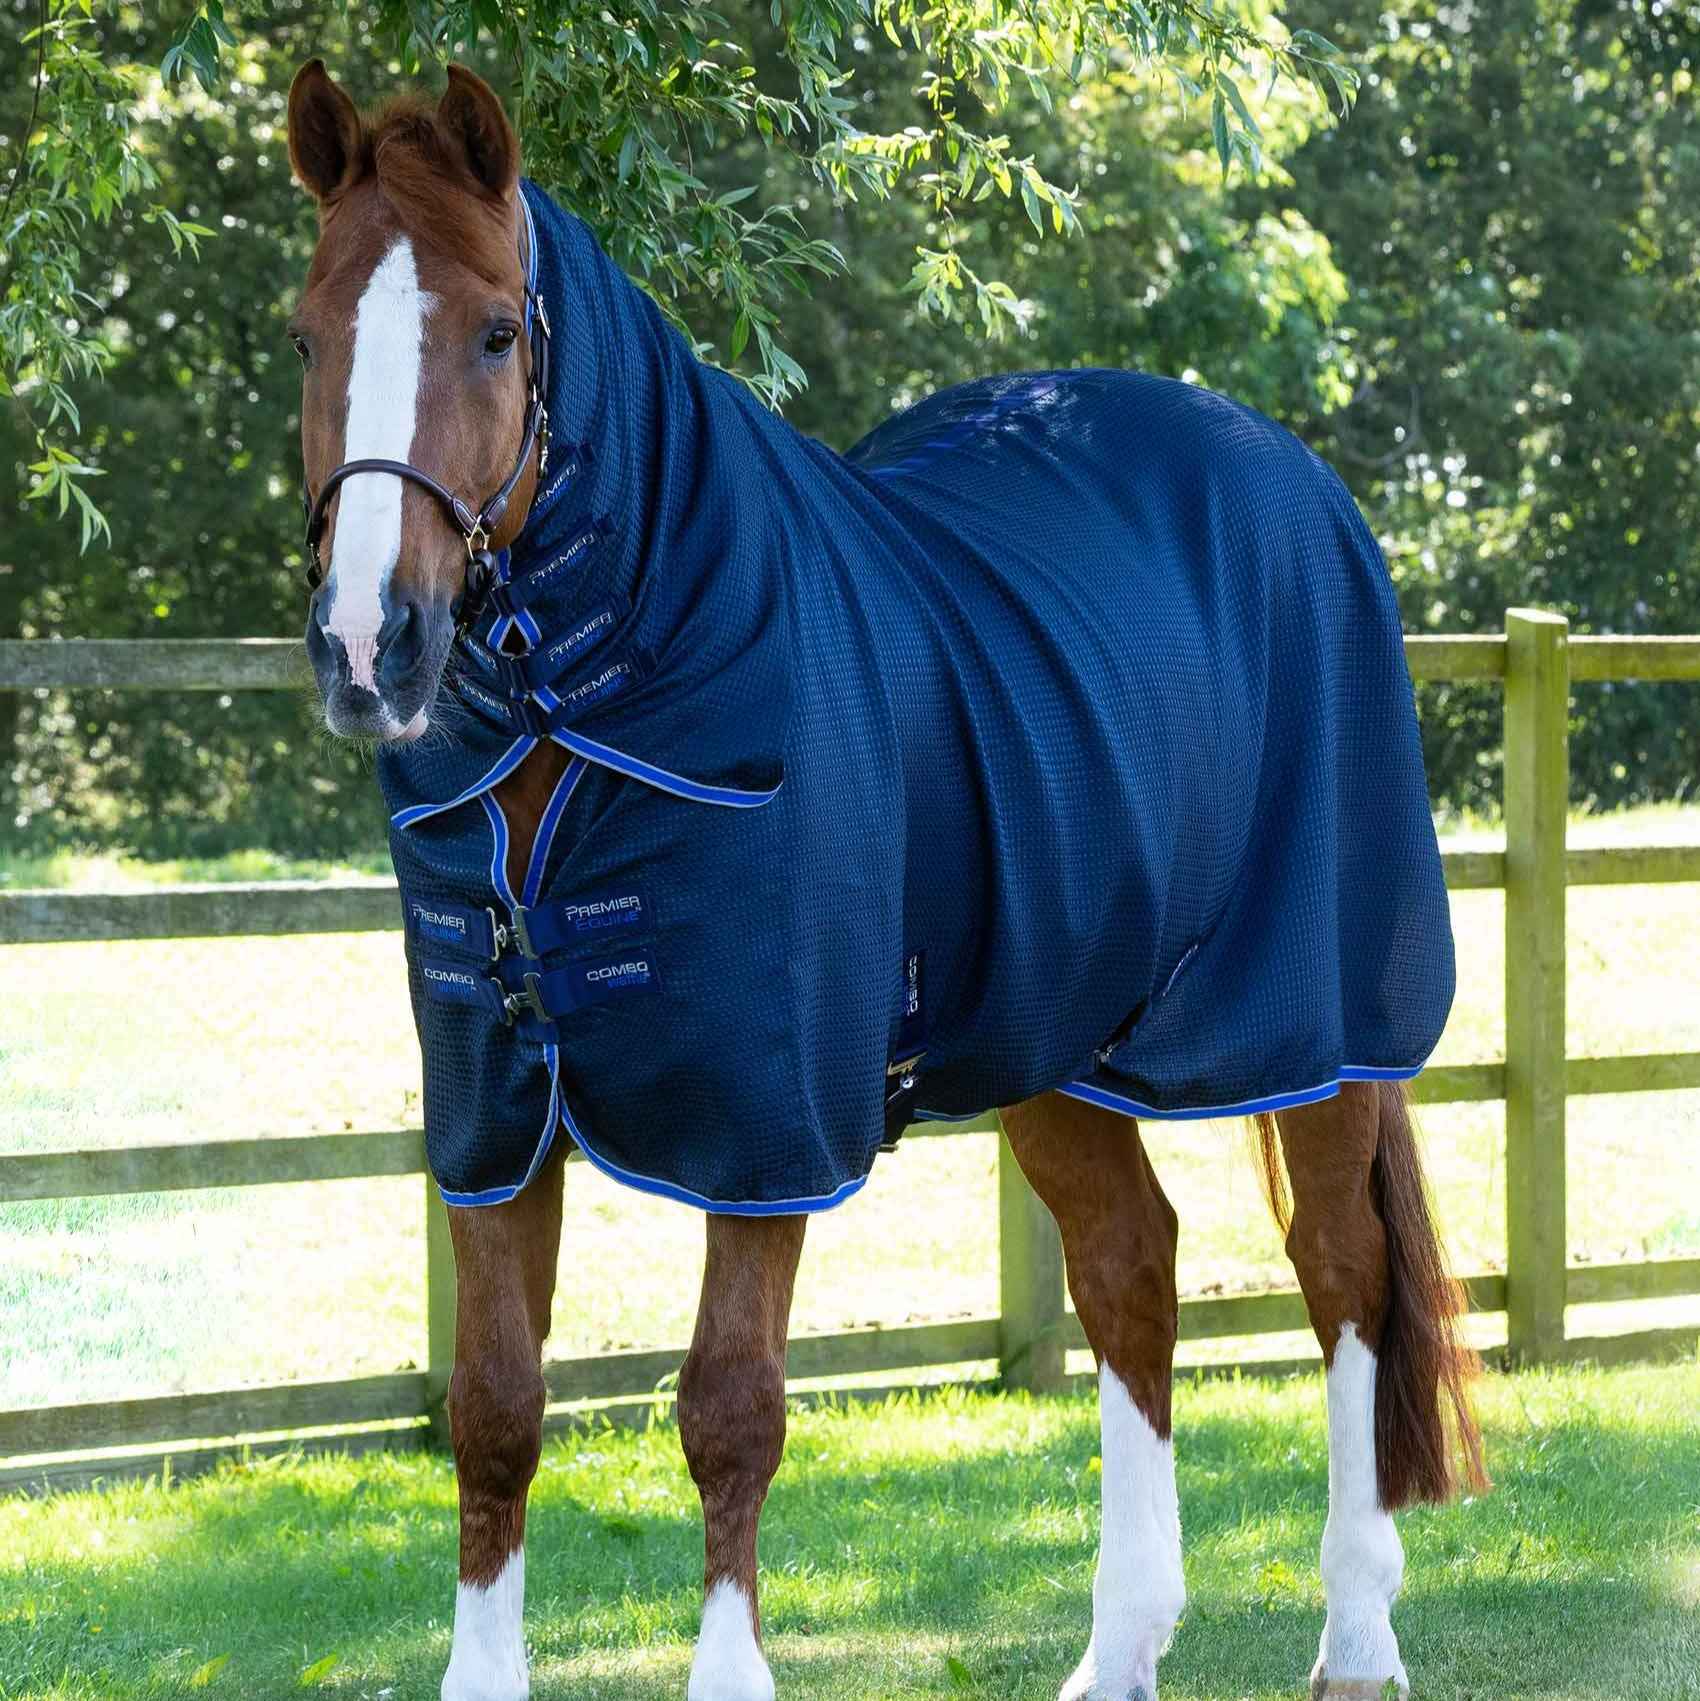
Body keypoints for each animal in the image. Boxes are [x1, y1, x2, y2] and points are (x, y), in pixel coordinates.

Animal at [284, 60, 1484, 1701]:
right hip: (1057, 1043)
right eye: (306, 332)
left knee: (1341, 1268)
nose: (369, 645)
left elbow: (729, 1406)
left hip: (1319, 1025)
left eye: (493, 332)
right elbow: (494, 1411)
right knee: (1130, 1270)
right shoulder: (494, 1117)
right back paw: (1119, 1647)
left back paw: (1356, 1632)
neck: (598, 712)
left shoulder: (766, 1128)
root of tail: (1288, 475)